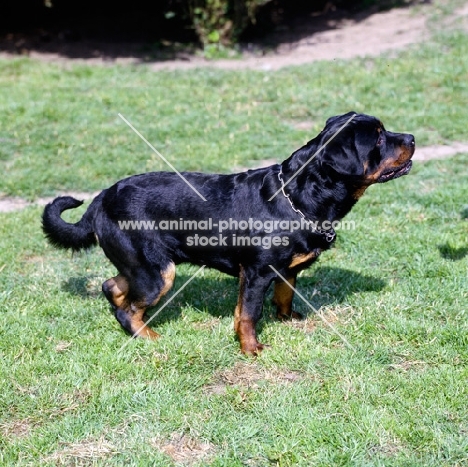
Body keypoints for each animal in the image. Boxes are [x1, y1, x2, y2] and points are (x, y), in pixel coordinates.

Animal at [42, 112, 414, 354]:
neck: (299, 196)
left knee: (112, 286)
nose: (412, 138)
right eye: (379, 137)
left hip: (141, 266)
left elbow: (284, 296)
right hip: (157, 271)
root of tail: (101, 199)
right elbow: (247, 315)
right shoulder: (256, 273)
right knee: (128, 309)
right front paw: (251, 349)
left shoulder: (286, 270)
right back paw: (148, 338)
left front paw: (288, 319)